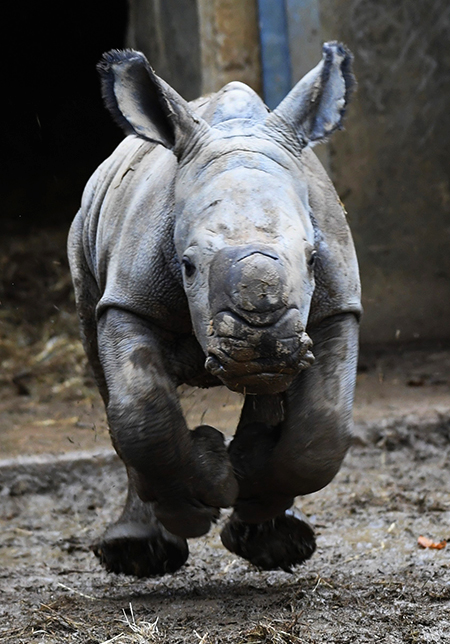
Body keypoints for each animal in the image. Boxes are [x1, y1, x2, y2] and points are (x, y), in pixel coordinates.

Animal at [68, 42, 361, 577]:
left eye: (313, 258)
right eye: (186, 266)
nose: (261, 343)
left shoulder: (337, 306)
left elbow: (323, 429)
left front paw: (249, 484)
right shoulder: (128, 301)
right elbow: (141, 410)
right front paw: (200, 495)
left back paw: (275, 538)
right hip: (84, 237)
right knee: (108, 379)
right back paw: (138, 552)